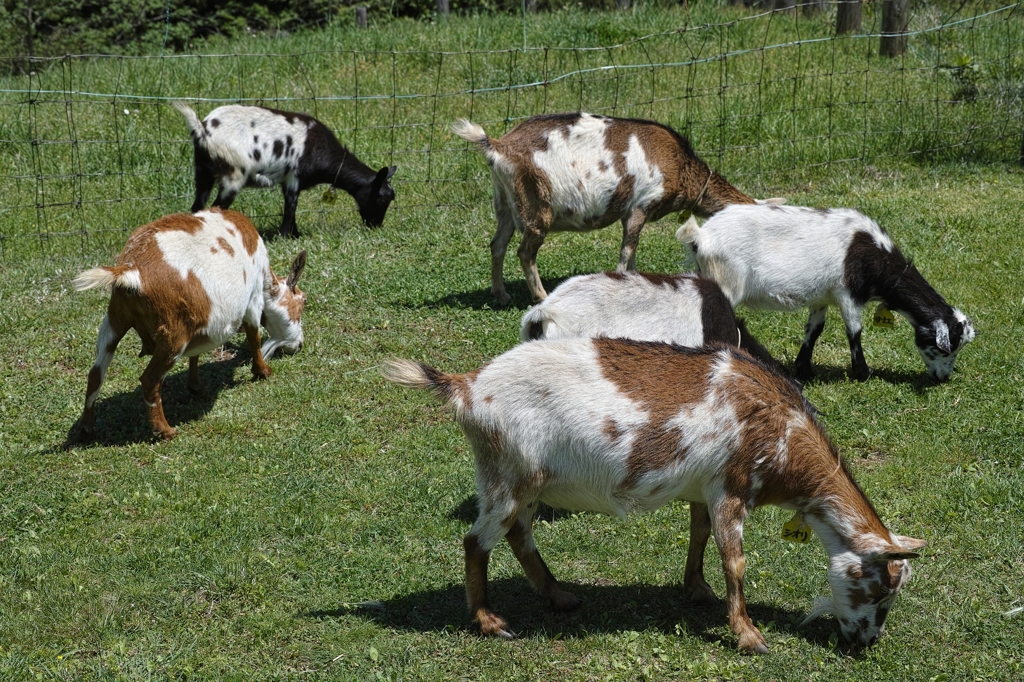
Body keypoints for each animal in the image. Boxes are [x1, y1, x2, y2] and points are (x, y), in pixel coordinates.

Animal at [74, 208, 305, 440]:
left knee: (95, 374)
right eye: (303, 301)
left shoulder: (202, 321)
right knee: (149, 380)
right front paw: (262, 371)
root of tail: (131, 270)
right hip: (172, 334)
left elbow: (197, 353)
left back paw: (86, 428)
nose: (300, 345)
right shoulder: (253, 299)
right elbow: (254, 336)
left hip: (114, 320)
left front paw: (196, 388)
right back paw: (164, 430)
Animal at [172, 100, 395, 237]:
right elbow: (290, 210)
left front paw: (296, 235)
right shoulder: (294, 179)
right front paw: (286, 236)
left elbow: (291, 211)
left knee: (197, 207)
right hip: (233, 173)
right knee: (216, 207)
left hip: (202, 171)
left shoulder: (287, 181)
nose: (376, 226)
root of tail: (202, 129)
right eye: (382, 198)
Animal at [675, 201, 970, 382]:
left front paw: (804, 369)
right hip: (725, 279)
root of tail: (701, 237)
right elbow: (854, 331)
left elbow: (814, 330)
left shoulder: (822, 297)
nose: (943, 378)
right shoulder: (848, 294)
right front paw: (862, 372)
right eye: (946, 347)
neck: (880, 263)